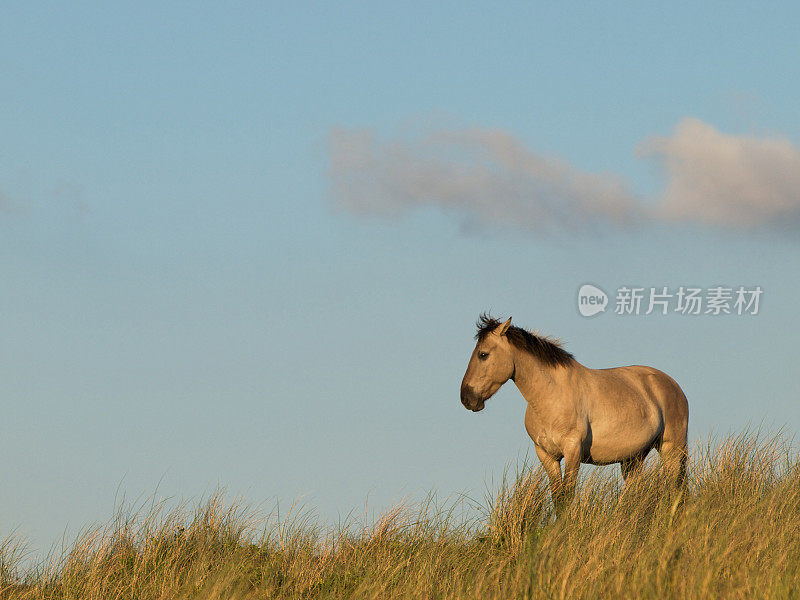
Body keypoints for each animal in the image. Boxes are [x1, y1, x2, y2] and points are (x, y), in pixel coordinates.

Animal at [460, 314, 692, 510]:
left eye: (483, 354)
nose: (466, 398)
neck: (551, 396)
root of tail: (672, 385)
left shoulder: (573, 449)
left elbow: (567, 495)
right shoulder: (547, 455)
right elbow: (557, 498)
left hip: (672, 449)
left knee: (676, 491)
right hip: (633, 458)